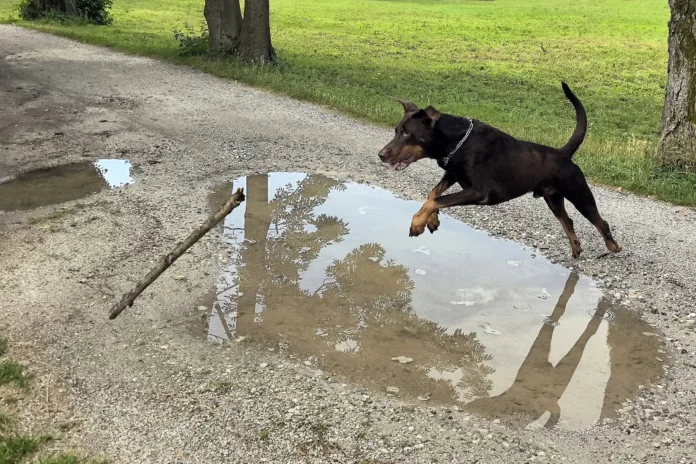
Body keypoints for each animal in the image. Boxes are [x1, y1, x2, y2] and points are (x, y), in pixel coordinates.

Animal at [378, 82, 624, 260]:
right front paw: (431, 220)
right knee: (568, 221)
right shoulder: (453, 174)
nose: (381, 154)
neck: (457, 142)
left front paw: (417, 222)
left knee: (600, 222)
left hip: (579, 193)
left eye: (407, 133)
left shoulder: (479, 192)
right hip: (553, 198)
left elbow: (436, 199)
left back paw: (613, 246)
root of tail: (563, 153)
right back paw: (576, 248)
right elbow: (433, 194)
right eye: (396, 130)